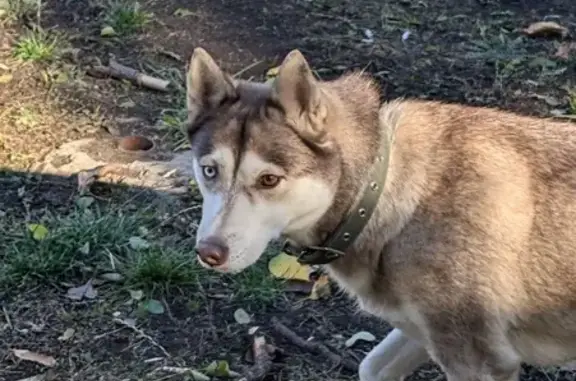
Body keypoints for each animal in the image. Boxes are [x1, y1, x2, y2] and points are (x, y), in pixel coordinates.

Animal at [186, 47, 576, 380]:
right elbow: (371, 366)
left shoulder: (480, 361)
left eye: (269, 180)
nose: (209, 252)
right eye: (210, 171)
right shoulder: (418, 332)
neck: (384, 191)